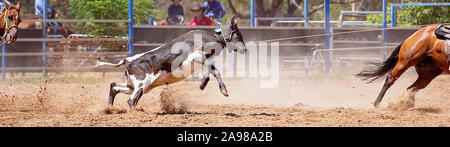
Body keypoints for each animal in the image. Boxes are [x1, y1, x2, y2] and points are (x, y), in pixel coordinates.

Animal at [96, 14, 248, 109]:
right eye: (238, 35)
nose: (245, 49)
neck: (213, 38)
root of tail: (127, 60)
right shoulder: (195, 57)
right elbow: (210, 69)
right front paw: (202, 84)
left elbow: (215, 71)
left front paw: (224, 90)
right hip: (141, 83)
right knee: (131, 100)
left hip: (133, 85)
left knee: (114, 86)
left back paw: (110, 109)